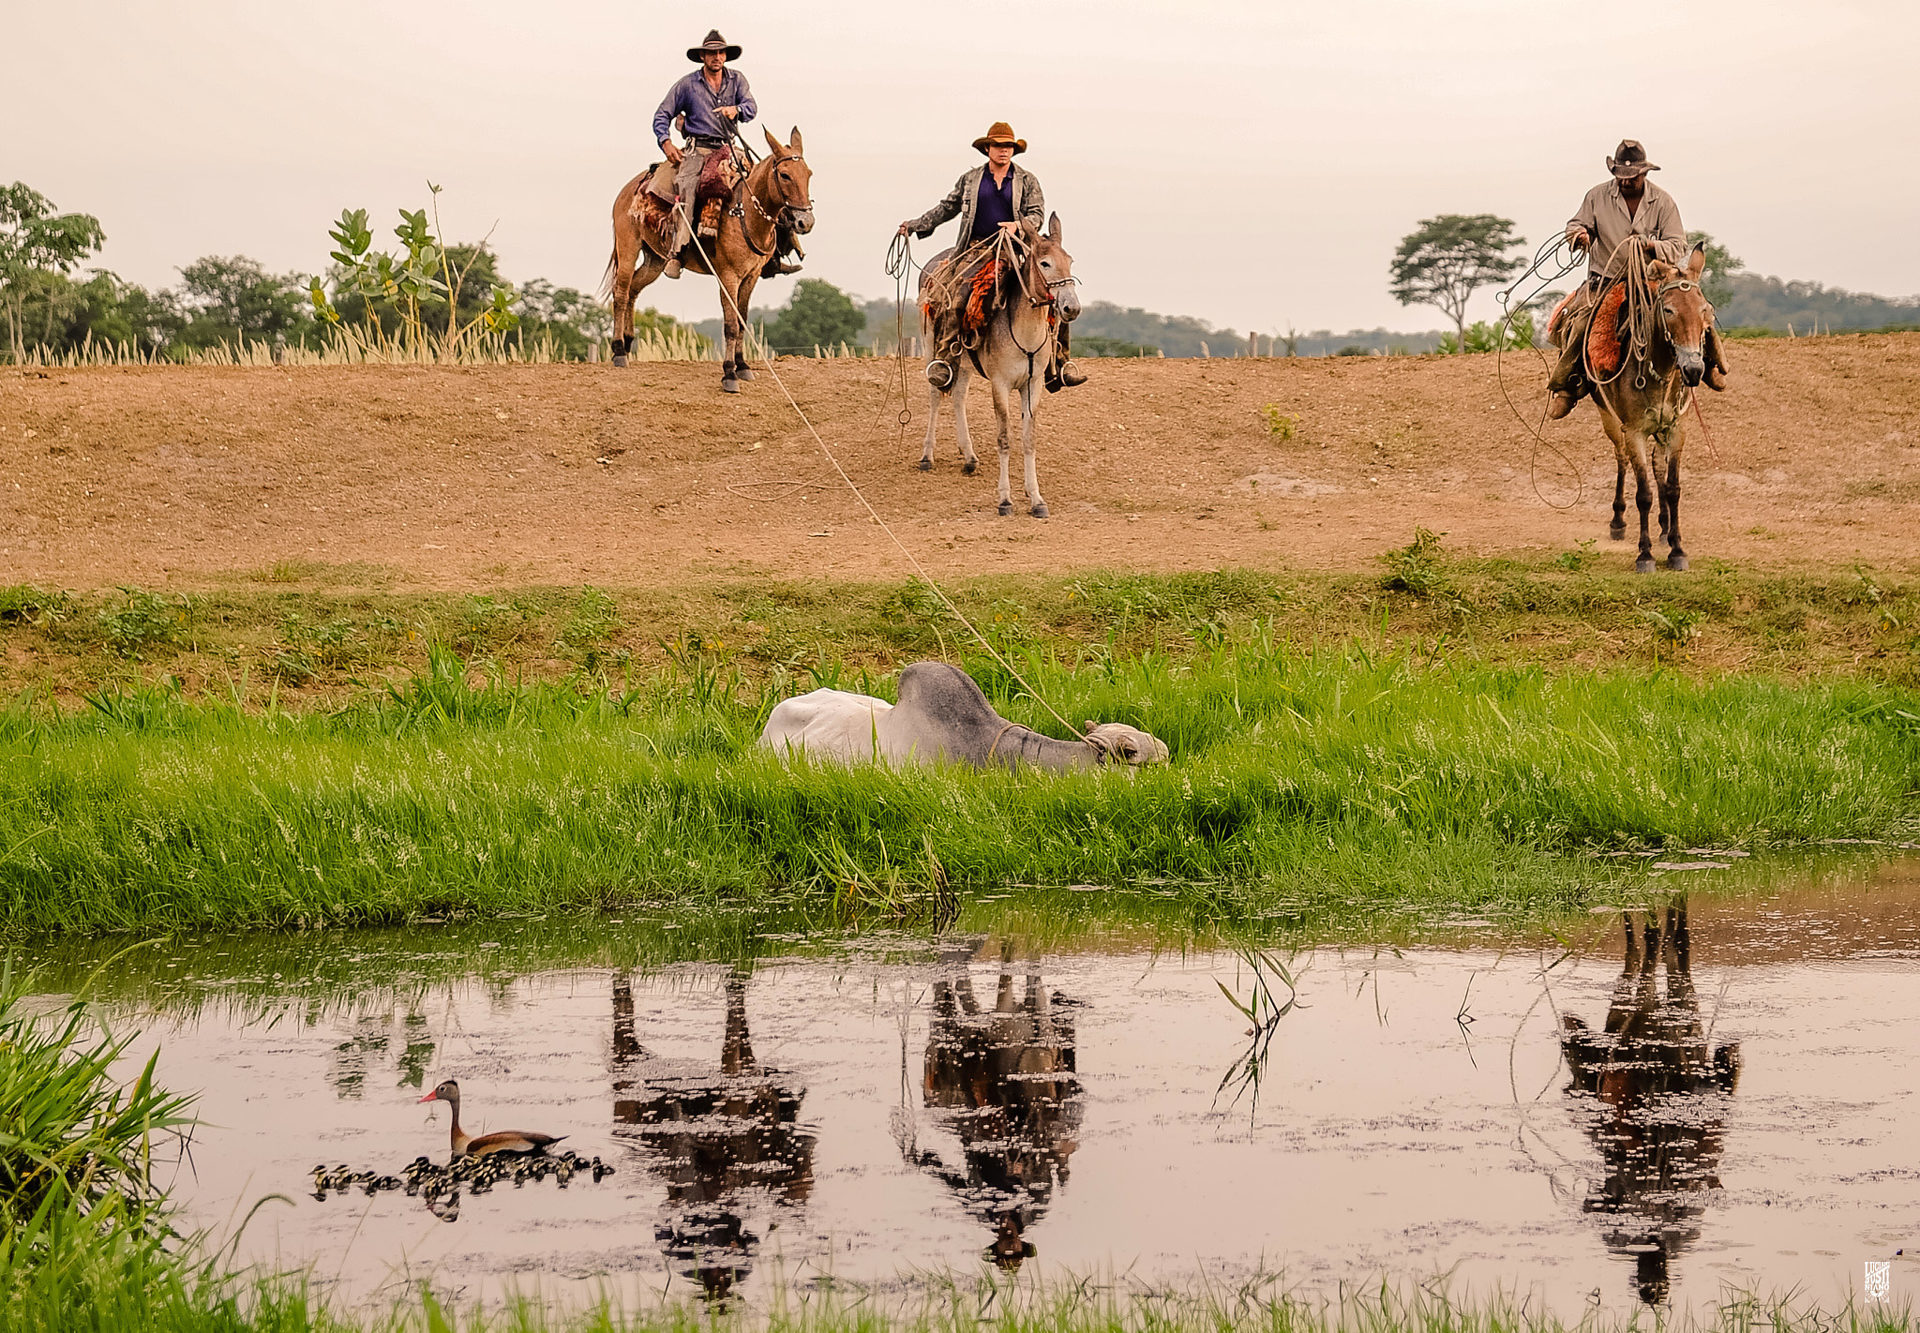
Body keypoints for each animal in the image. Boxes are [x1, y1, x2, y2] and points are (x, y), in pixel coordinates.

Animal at [599, 126, 810, 391]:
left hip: (654, 260)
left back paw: (627, 343)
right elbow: (731, 325)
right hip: (628, 248)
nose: (805, 222)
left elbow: (742, 320)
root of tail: (629, 189)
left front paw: (743, 366)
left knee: (633, 290)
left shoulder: (750, 277)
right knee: (620, 292)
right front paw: (729, 374)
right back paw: (618, 351)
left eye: (808, 174)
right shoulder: (728, 277)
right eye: (784, 175)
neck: (743, 212)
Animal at [1559, 247, 1712, 572]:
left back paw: (1665, 527)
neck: (1660, 371)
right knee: (1621, 459)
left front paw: (1677, 548)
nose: (1693, 369)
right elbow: (1644, 494)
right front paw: (1645, 554)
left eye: (1704, 309)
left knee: (1657, 466)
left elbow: (1673, 488)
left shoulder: (1677, 430)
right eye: (1668, 310)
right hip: (1610, 420)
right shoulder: (1635, 431)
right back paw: (1618, 521)